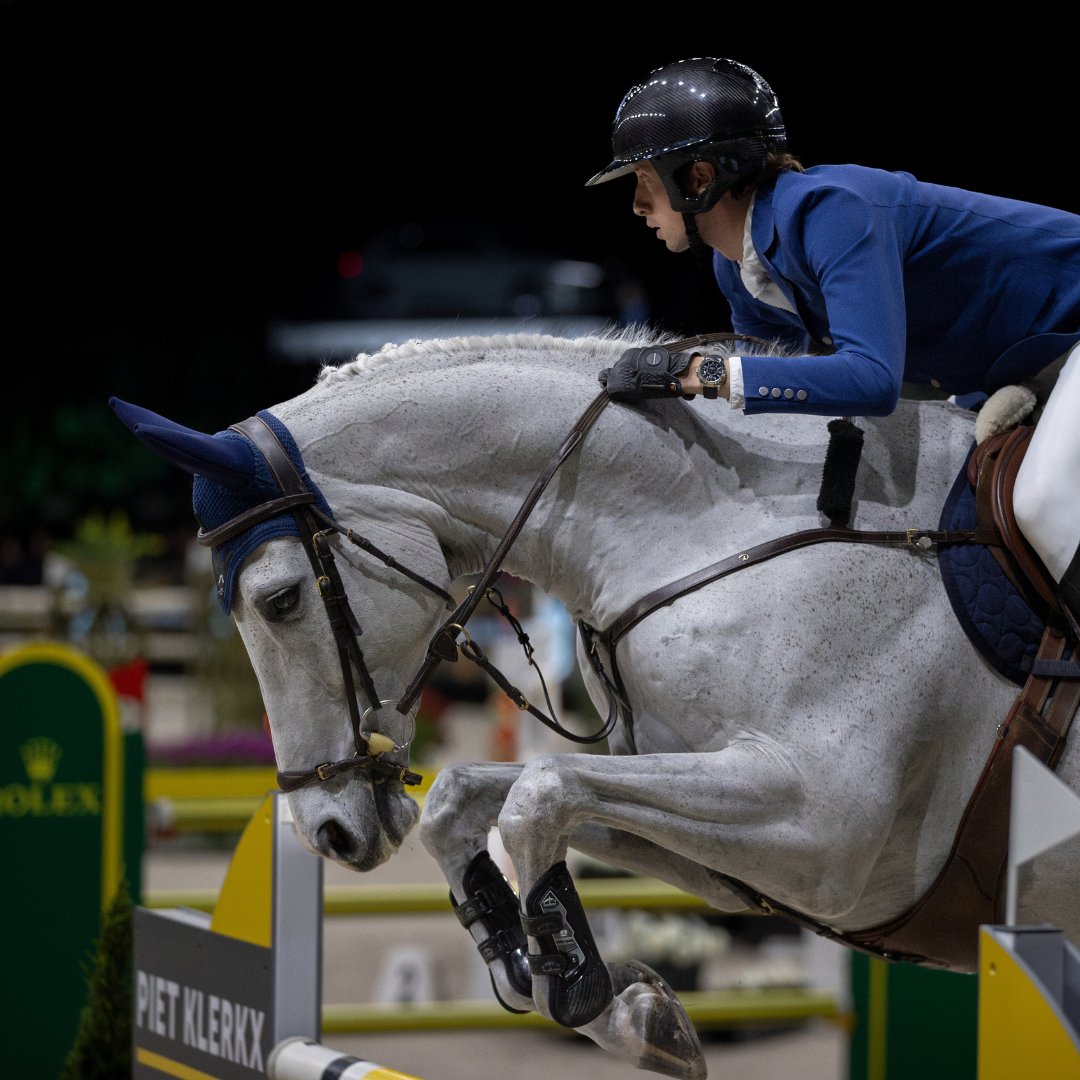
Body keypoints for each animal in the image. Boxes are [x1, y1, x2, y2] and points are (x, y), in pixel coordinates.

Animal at [109, 330, 1080, 1080]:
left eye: (277, 600)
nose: (328, 834)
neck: (719, 522)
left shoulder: (827, 831)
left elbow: (540, 793)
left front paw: (577, 981)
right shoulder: (740, 855)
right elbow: (475, 796)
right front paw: (601, 996)